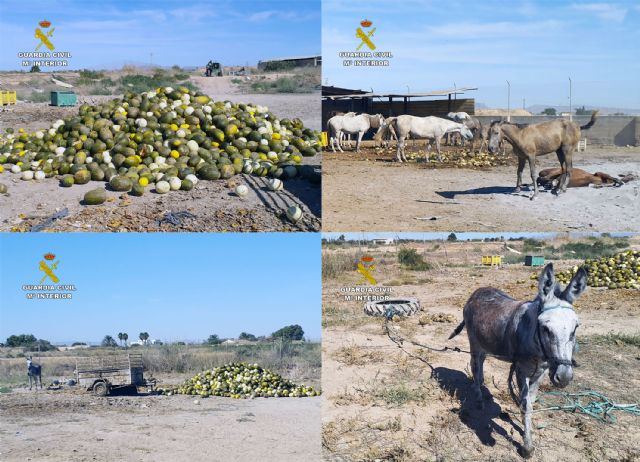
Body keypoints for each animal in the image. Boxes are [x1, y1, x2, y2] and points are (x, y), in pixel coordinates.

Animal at [448, 263, 587, 458]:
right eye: (545, 328)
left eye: (575, 328)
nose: (564, 377)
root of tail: (477, 291)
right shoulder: (521, 371)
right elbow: (525, 405)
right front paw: (527, 446)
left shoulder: (541, 372)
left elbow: (531, 403)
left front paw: (527, 431)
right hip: (474, 343)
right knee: (475, 368)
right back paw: (479, 399)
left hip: (485, 345)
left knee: (480, 367)